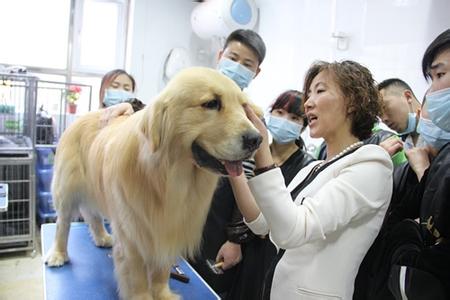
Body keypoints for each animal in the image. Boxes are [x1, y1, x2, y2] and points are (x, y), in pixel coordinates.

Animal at [44, 68, 264, 300]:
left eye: (244, 107)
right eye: (212, 103)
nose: (256, 139)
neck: (168, 178)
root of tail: (85, 116)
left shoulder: (168, 227)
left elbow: (161, 269)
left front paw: (162, 293)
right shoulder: (133, 232)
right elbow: (137, 275)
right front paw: (142, 295)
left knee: (91, 215)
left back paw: (102, 237)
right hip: (66, 189)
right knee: (62, 224)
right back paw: (58, 254)